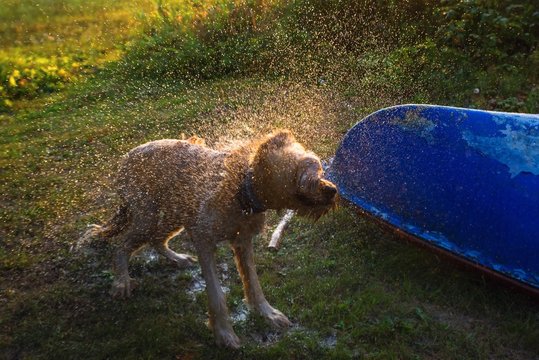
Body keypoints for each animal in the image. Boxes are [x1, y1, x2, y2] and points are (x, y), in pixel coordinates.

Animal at [85, 131, 338, 348]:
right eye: (302, 176)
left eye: (316, 166)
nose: (333, 190)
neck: (241, 190)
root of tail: (127, 157)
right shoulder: (204, 240)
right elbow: (216, 295)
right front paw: (224, 334)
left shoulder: (243, 242)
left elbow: (254, 284)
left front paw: (268, 314)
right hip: (147, 216)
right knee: (121, 245)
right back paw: (121, 282)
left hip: (175, 212)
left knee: (157, 240)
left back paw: (177, 258)